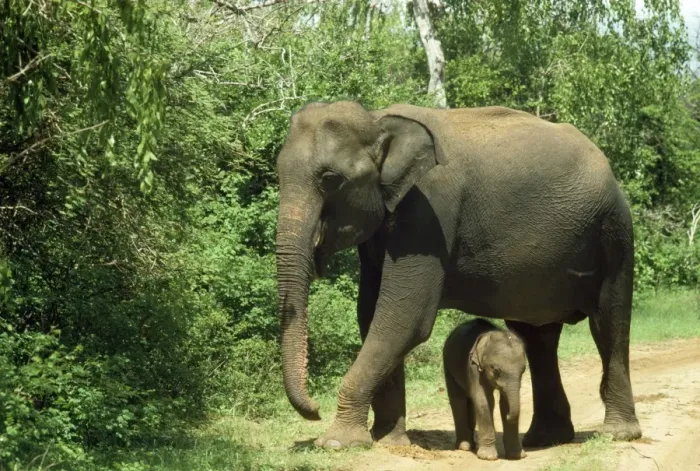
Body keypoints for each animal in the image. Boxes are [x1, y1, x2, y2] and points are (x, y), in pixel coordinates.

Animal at [443, 318, 527, 461]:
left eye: (523, 370)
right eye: (496, 370)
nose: (509, 416)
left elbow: (504, 403)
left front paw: (516, 456)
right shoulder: (473, 366)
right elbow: (484, 400)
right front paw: (488, 457)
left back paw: (472, 445)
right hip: (447, 363)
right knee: (458, 400)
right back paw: (464, 446)